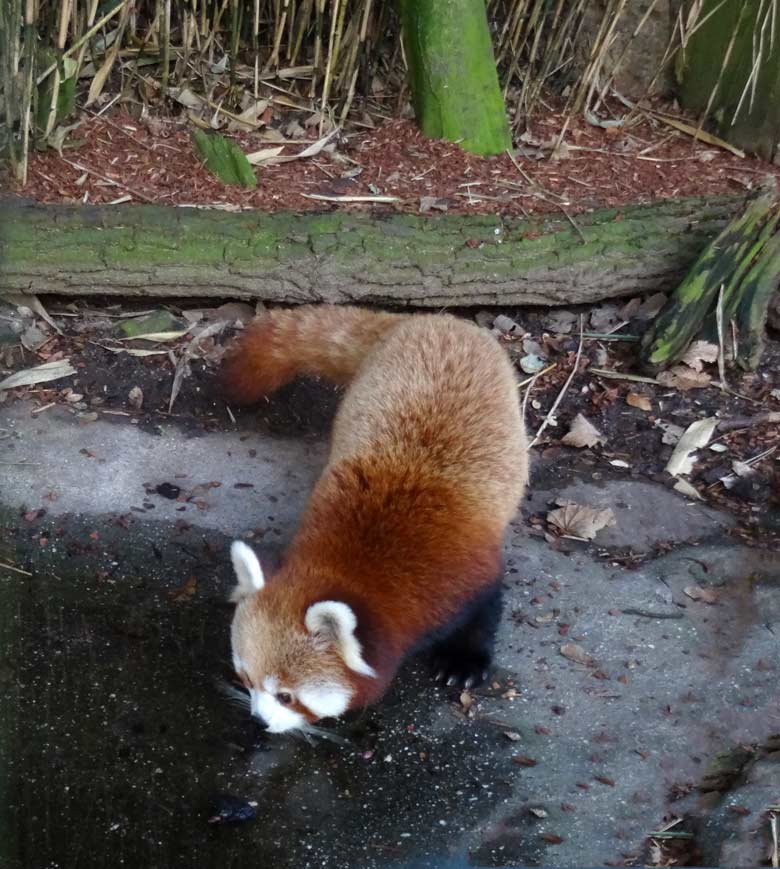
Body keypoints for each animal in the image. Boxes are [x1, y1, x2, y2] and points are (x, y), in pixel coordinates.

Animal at [225, 306, 532, 732]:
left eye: (287, 696)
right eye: (246, 678)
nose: (258, 720)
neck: (356, 569)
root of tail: (430, 319)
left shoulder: (466, 573)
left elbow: (485, 610)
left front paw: (465, 662)